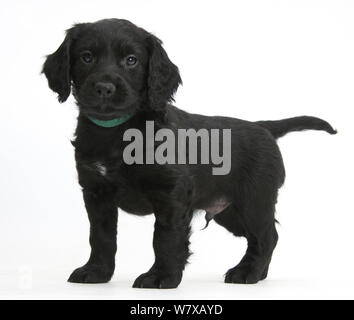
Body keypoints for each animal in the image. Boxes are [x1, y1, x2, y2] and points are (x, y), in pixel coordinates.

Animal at [42, 18, 336, 288]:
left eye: (131, 60)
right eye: (86, 57)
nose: (104, 87)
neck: (117, 132)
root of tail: (263, 127)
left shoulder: (171, 195)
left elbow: (165, 237)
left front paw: (161, 277)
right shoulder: (96, 192)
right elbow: (101, 237)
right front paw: (96, 272)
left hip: (254, 200)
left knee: (266, 236)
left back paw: (246, 273)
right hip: (230, 212)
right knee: (261, 237)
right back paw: (257, 273)